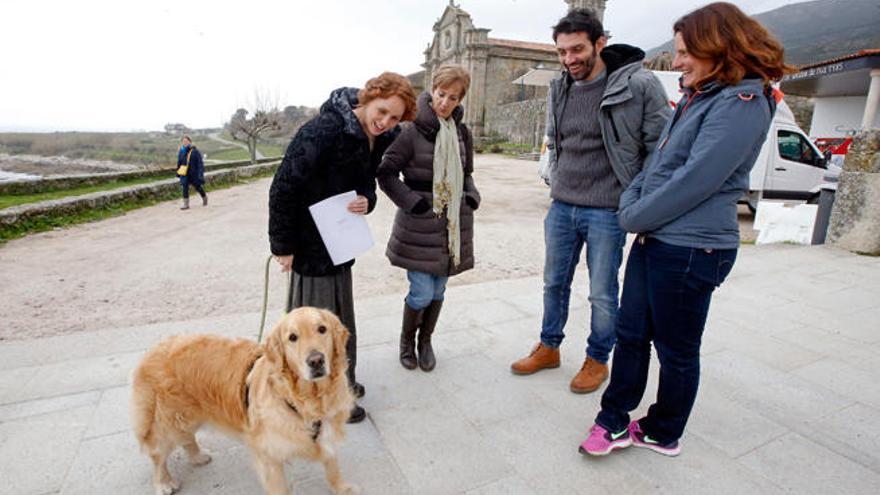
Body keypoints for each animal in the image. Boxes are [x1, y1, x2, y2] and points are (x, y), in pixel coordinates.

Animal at [131, 308, 358, 494]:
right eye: (293, 337)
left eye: (322, 329)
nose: (316, 360)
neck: (309, 400)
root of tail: (152, 351)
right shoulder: (267, 455)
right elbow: (281, 488)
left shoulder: (328, 431)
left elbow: (332, 467)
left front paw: (343, 488)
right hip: (167, 423)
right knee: (158, 455)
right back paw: (164, 483)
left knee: (187, 438)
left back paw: (197, 456)